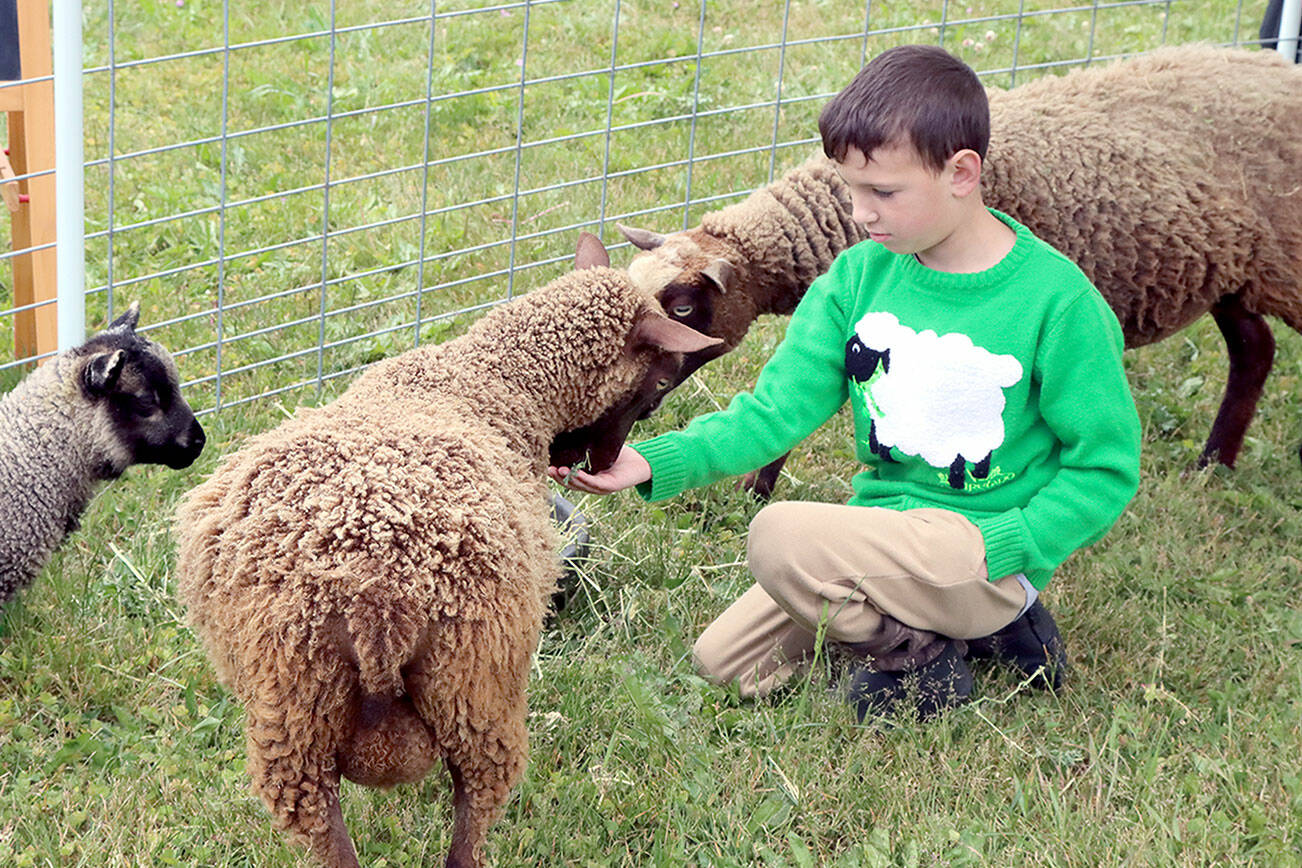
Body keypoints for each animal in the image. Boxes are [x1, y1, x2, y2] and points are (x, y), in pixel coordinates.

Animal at [172, 233, 721, 868]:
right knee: (475, 809)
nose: (595, 464)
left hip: (293, 706)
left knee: (320, 825)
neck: (496, 378)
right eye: (658, 383)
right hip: (474, 685)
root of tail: (375, 602)